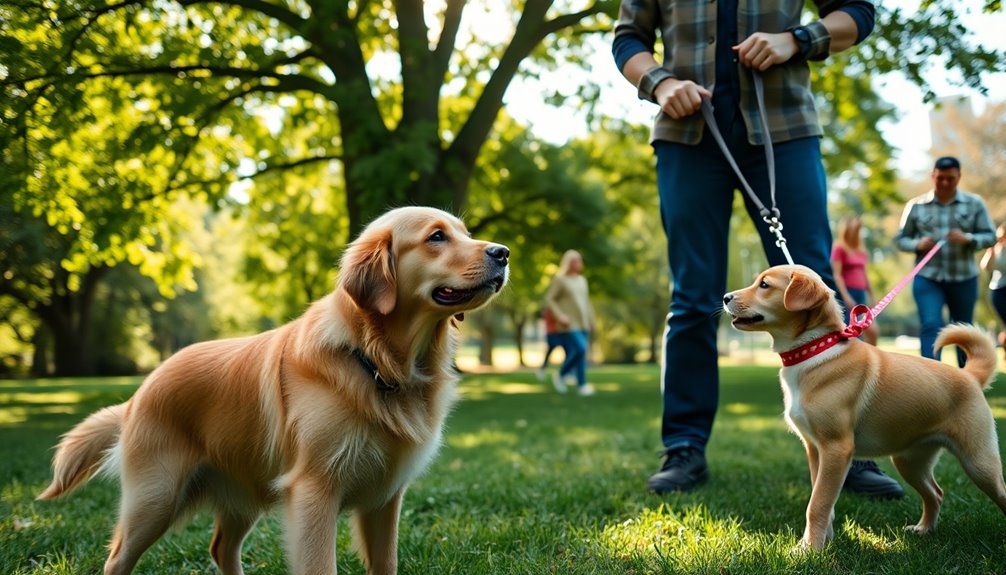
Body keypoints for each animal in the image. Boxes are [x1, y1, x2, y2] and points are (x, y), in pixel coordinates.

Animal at [39, 207, 511, 575]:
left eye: (465, 232)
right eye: (436, 236)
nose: (503, 253)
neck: (376, 361)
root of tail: (137, 395)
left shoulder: (385, 498)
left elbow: (386, 563)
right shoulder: (314, 490)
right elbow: (320, 565)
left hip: (239, 494)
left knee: (221, 548)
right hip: (154, 497)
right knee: (118, 558)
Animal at [724, 263, 1006, 546]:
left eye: (764, 285)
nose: (726, 297)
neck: (815, 351)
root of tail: (970, 376)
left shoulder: (836, 449)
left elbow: (817, 503)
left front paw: (809, 549)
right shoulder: (815, 450)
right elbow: (823, 500)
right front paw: (822, 541)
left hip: (979, 461)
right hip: (910, 461)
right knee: (935, 493)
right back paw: (924, 529)